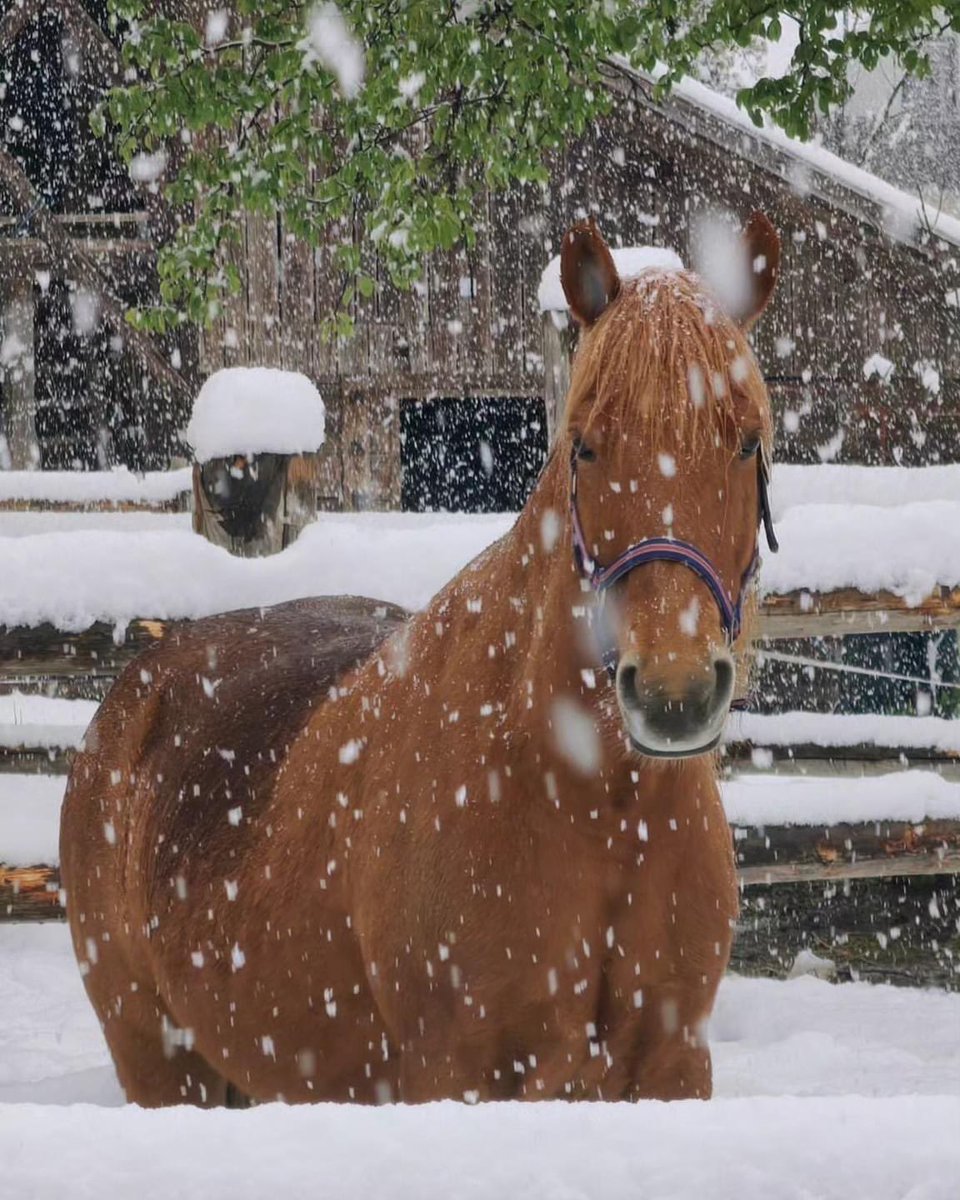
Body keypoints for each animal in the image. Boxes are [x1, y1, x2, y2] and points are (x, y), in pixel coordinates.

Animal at [60, 216, 777, 1104]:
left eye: (746, 441)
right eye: (585, 447)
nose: (675, 691)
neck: (593, 800)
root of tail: (139, 689)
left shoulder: (675, 1067)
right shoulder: (455, 1073)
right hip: (159, 1063)